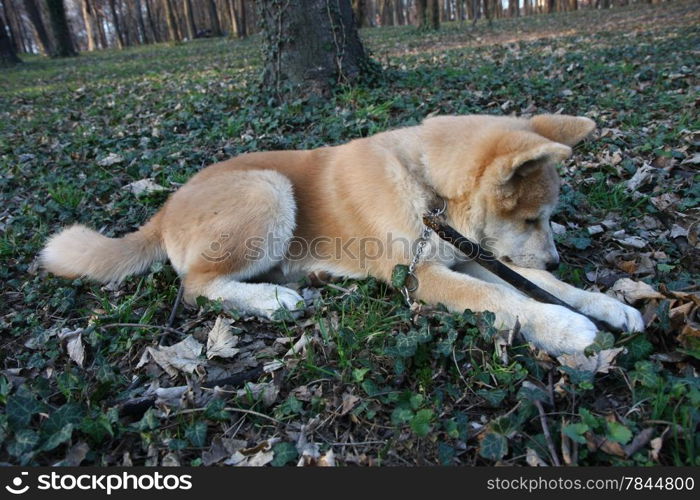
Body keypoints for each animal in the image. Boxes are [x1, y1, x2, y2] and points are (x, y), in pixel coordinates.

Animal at [41, 114, 644, 356]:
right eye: (530, 219)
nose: (557, 260)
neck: (427, 187)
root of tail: (164, 209)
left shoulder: (466, 253)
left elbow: (529, 285)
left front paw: (606, 305)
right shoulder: (419, 274)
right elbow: (502, 297)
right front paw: (567, 328)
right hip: (267, 190)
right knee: (194, 287)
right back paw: (274, 299)